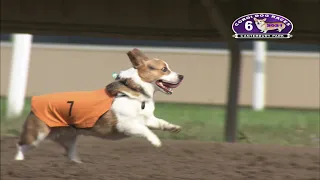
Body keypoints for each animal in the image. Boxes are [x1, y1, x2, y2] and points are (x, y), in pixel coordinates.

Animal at [14, 47, 185, 163]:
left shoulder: (147, 118)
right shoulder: (126, 124)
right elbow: (145, 129)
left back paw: (77, 164)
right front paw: (156, 141)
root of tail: (34, 103)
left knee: (69, 152)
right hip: (37, 135)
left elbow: (159, 123)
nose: (182, 76)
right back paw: (18, 163)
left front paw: (173, 127)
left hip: (69, 137)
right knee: (21, 145)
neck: (136, 90)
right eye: (164, 69)